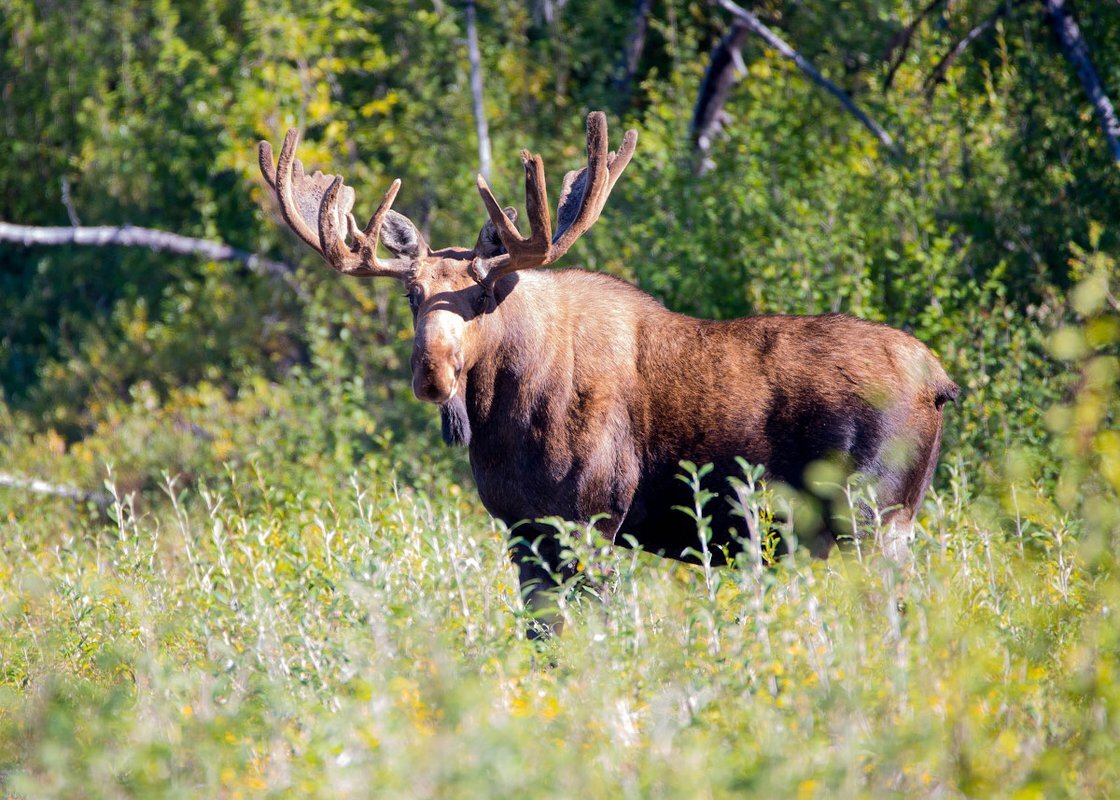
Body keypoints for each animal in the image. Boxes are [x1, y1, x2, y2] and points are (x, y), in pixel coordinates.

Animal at [257, 112, 958, 636]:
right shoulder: (523, 529)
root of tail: (941, 382)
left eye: (481, 296)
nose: (433, 374)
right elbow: (541, 632)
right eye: (411, 294)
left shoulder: (591, 517)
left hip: (869, 516)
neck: (504, 419)